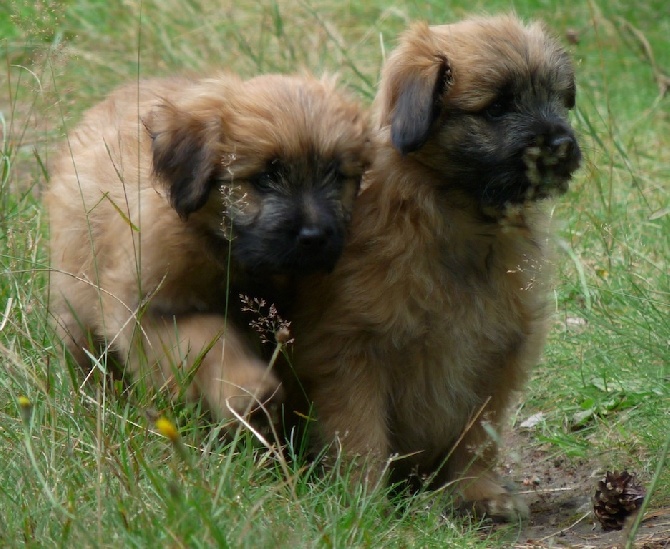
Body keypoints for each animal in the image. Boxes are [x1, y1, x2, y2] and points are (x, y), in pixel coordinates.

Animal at [49, 73, 370, 424]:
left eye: (337, 175)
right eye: (265, 178)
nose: (314, 237)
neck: (221, 249)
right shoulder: (146, 309)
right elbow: (210, 336)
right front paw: (248, 389)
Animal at [288, 12, 584, 520]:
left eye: (555, 97)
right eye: (497, 108)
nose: (562, 145)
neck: (457, 221)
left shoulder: (496, 357)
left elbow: (477, 435)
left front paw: (477, 492)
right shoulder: (351, 356)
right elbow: (361, 435)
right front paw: (364, 503)